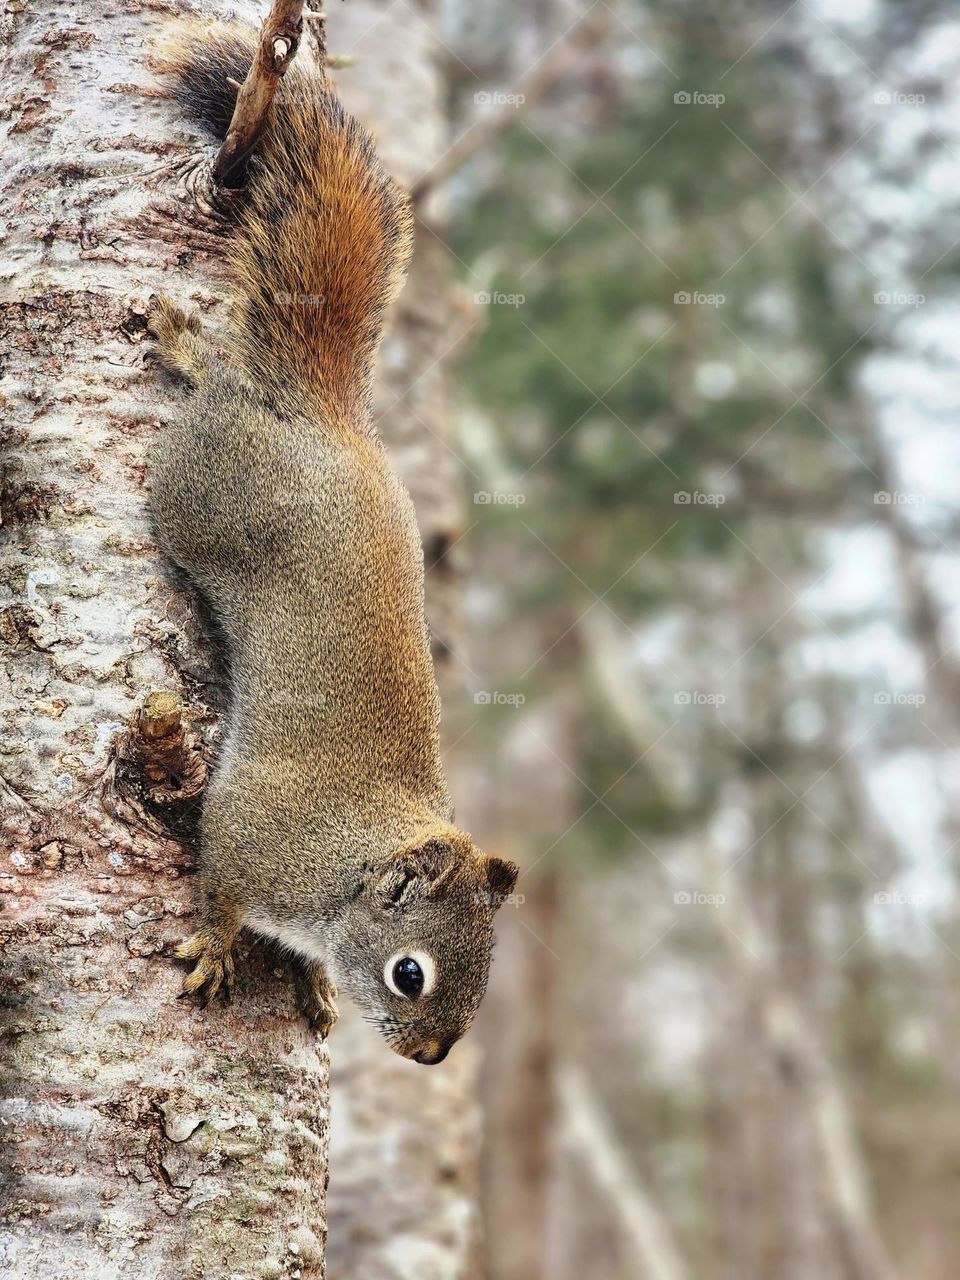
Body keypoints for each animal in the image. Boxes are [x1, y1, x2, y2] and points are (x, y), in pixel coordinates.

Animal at [147, 21, 518, 1065]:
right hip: (195, 491)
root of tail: (328, 415)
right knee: (215, 390)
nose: (432, 1056)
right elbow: (221, 886)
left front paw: (311, 981)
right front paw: (216, 947)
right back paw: (188, 349)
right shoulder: (250, 833)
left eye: (486, 978)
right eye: (411, 973)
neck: (346, 863)